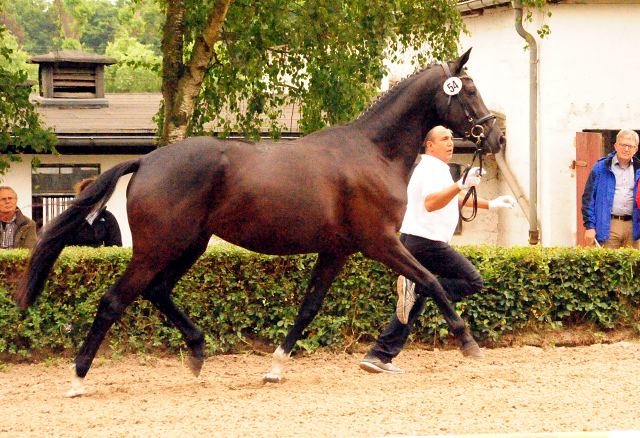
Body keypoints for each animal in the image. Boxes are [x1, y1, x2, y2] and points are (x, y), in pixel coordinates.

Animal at [13, 48, 504, 396]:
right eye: (469, 90)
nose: (496, 136)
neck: (371, 152)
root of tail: (148, 160)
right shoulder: (380, 242)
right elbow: (432, 281)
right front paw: (469, 344)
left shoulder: (337, 250)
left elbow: (309, 308)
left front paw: (274, 367)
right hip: (158, 247)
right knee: (114, 300)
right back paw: (78, 378)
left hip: (189, 244)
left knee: (157, 291)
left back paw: (197, 351)